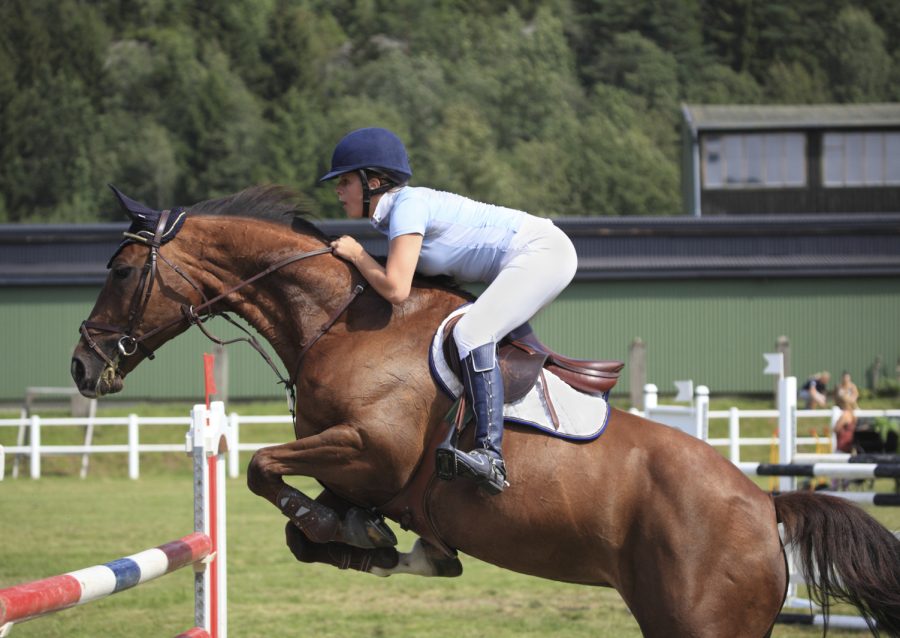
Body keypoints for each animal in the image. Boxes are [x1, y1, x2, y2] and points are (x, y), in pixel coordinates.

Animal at [71, 185, 900, 637]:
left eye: (122, 271)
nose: (81, 364)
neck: (339, 320)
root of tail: (765, 503)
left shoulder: (370, 447)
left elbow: (261, 466)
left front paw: (349, 531)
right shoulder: (360, 469)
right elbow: (311, 526)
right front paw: (374, 544)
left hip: (698, 622)